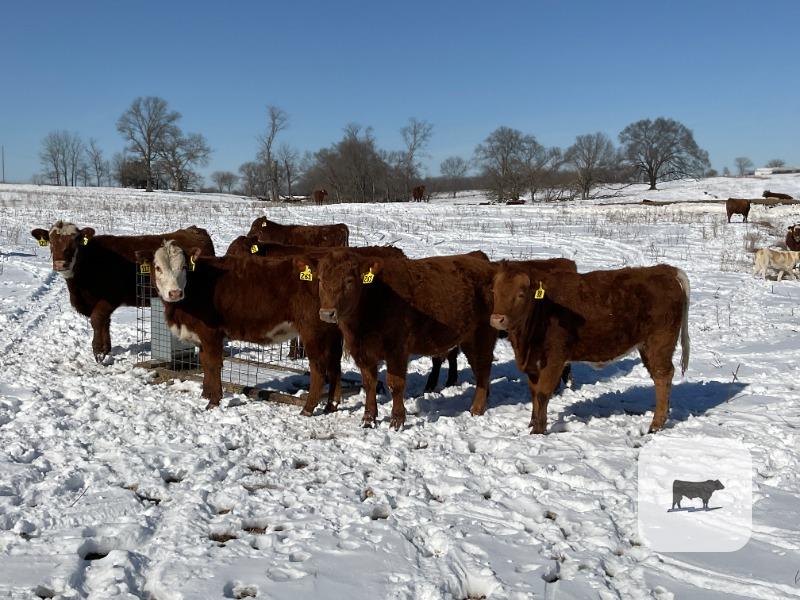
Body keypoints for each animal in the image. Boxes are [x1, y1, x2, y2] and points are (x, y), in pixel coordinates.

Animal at [30, 222, 214, 362]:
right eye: (51, 242)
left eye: (74, 241)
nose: (60, 264)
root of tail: (193, 229)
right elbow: (104, 323)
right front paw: (105, 349)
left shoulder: (109, 299)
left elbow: (97, 320)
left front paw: (98, 352)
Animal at [140, 241, 406, 415]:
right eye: (158, 267)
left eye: (184, 267)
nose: (174, 292)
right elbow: (205, 364)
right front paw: (205, 393)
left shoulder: (211, 333)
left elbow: (213, 365)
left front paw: (213, 401)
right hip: (330, 332)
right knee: (335, 367)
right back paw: (331, 405)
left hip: (313, 330)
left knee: (318, 369)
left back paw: (309, 408)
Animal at [310, 250, 498, 429]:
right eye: (320, 280)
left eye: (349, 280)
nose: (327, 313)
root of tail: (481, 261)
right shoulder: (363, 352)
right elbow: (369, 383)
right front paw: (368, 420)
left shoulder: (397, 349)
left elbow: (396, 384)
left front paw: (397, 421)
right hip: (468, 338)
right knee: (478, 367)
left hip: (483, 334)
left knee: (483, 367)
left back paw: (476, 408)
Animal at [491, 262, 690, 434]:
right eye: (494, 291)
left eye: (521, 294)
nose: (497, 319)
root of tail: (665, 269)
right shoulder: (533, 364)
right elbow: (533, 393)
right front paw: (532, 422)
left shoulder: (555, 359)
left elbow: (542, 393)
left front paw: (538, 430)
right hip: (647, 347)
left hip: (660, 342)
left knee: (663, 375)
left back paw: (656, 424)